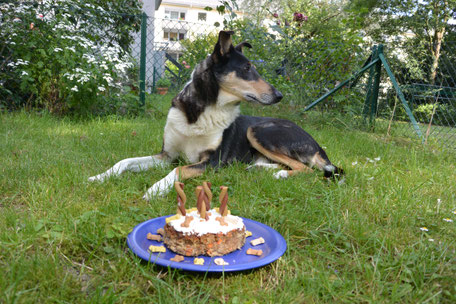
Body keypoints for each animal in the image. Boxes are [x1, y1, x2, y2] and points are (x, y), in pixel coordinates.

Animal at [89, 30, 342, 200]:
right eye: (247, 68)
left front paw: (155, 189)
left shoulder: (211, 161)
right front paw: (100, 177)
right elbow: (124, 161)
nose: (279, 95)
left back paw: (278, 175)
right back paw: (258, 168)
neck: (201, 112)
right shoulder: (167, 155)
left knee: (307, 169)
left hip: (258, 130)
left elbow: (178, 170)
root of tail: (317, 145)